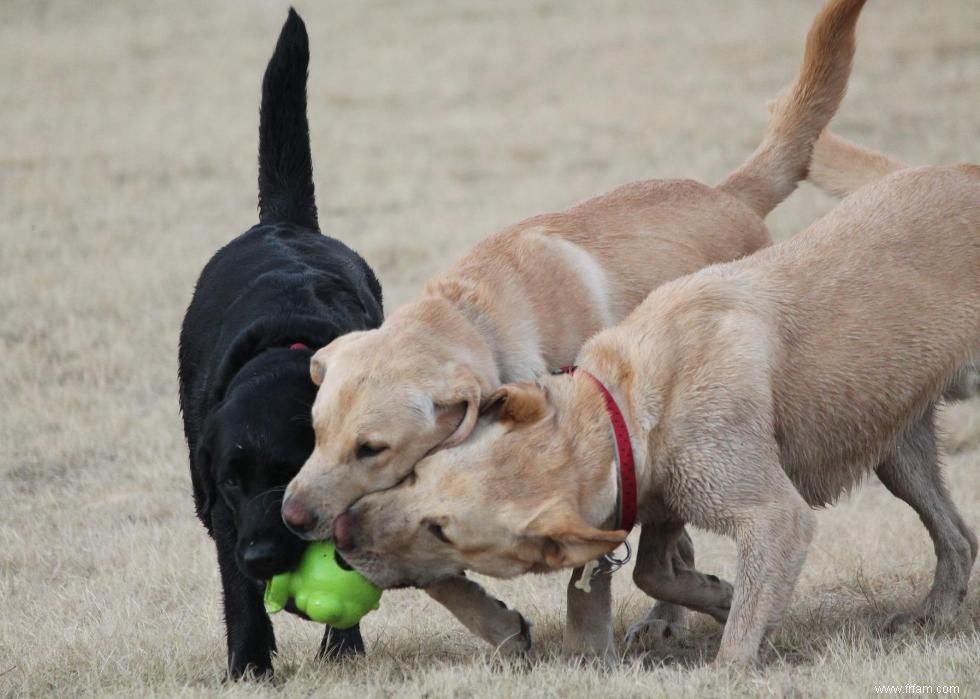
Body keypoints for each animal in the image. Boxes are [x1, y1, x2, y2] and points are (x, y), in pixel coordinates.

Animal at [177, 9, 382, 680]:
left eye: (292, 469)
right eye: (233, 480)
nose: (264, 555)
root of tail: (284, 221)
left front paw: (342, 648)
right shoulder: (220, 509)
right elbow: (238, 594)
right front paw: (248, 667)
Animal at [334, 150, 980, 664]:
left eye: (443, 531)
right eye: (417, 473)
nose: (340, 534)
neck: (630, 404)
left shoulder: (774, 517)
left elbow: (733, 638)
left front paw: (733, 651)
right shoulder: (661, 498)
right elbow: (658, 574)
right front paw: (717, 596)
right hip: (899, 452)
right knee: (958, 538)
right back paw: (932, 614)